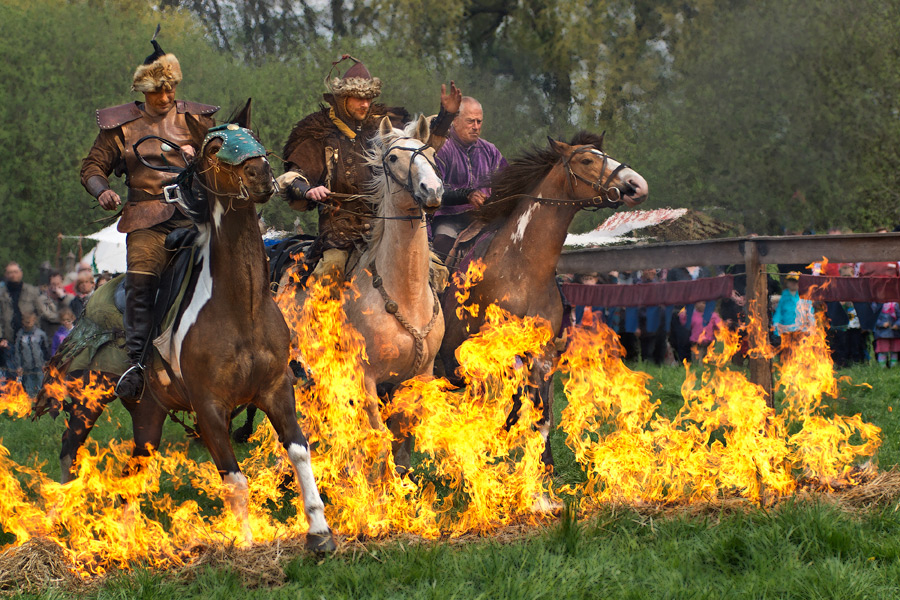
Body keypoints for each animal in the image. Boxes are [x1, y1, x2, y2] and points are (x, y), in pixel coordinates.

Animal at [37, 102, 336, 552]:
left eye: (253, 136)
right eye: (215, 147)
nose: (262, 175)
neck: (241, 308)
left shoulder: (276, 390)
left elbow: (300, 452)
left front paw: (319, 530)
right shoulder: (209, 407)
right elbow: (235, 478)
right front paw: (247, 543)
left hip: (148, 410)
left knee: (136, 465)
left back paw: (125, 536)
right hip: (89, 398)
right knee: (70, 450)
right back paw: (54, 521)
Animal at [442, 134, 648, 472]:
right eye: (587, 160)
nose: (636, 184)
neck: (521, 267)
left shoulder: (543, 352)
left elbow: (540, 412)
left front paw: (542, 465)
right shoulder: (500, 351)